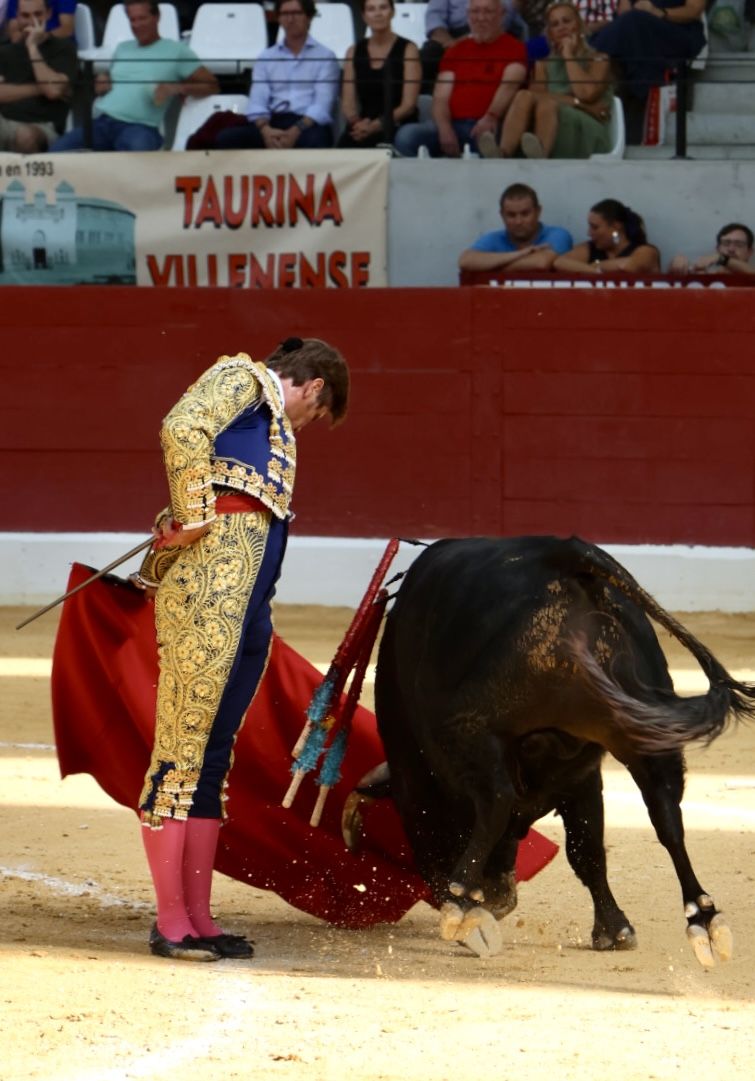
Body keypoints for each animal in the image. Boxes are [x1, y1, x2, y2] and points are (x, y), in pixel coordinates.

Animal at [346, 536, 752, 968]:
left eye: (415, 826)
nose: (500, 899)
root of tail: (560, 552)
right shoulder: (582, 776)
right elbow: (587, 848)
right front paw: (615, 930)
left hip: (470, 727)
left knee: (497, 800)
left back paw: (462, 902)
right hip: (644, 728)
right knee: (666, 814)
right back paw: (704, 919)